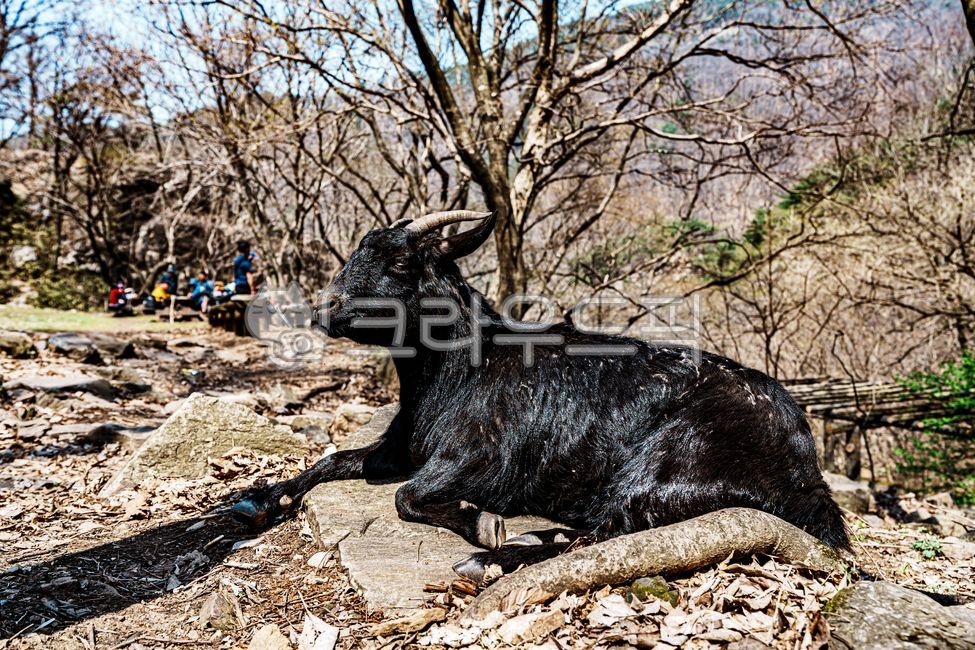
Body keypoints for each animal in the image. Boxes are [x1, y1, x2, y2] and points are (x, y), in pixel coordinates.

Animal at [231, 210, 849, 578]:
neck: (460, 368)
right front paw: (257, 501)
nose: (324, 308)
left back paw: (503, 552)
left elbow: (407, 496)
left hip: (671, 462)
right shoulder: (399, 447)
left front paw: (481, 522)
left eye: (402, 260)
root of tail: (805, 465)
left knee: (612, 527)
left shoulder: (477, 457)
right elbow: (332, 459)